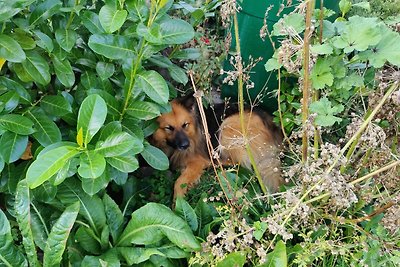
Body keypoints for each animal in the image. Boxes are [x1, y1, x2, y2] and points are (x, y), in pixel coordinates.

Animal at [151, 96, 284, 199]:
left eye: (185, 125)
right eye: (169, 128)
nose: (185, 145)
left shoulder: (197, 161)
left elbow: (179, 182)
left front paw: (177, 203)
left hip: (227, 127)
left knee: (241, 164)